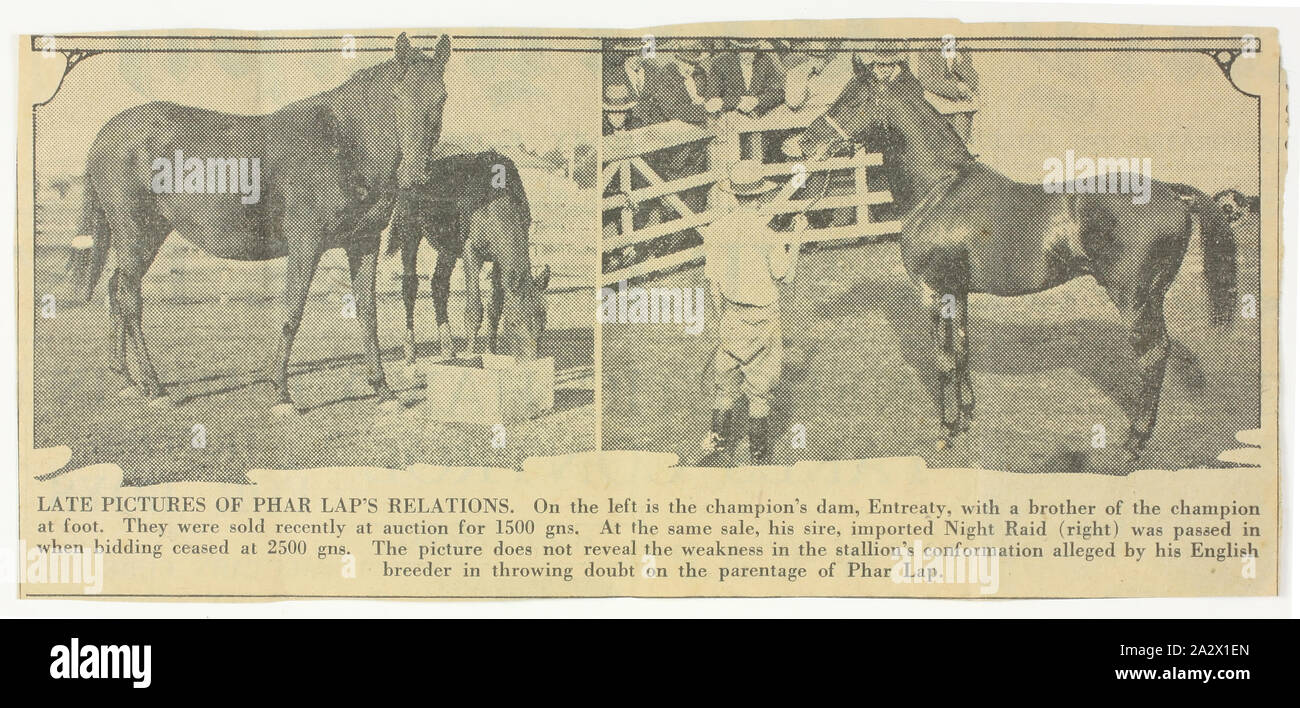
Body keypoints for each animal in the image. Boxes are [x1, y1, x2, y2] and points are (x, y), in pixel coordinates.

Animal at [65, 35, 452, 413]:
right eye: (398, 97)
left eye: (442, 98)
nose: (416, 175)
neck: (342, 143)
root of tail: (105, 135)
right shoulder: (306, 243)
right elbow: (292, 311)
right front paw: (281, 393)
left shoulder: (364, 242)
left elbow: (368, 314)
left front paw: (383, 391)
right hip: (135, 232)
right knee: (129, 298)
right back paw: (156, 388)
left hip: (149, 233)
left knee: (116, 288)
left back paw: (128, 380)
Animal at [384, 152, 548, 366]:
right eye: (513, 323)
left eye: (543, 323)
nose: (530, 360)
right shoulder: (470, 249)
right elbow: (474, 309)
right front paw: (471, 355)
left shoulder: (499, 259)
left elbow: (495, 307)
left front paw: (490, 352)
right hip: (409, 230)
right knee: (410, 285)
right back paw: (410, 352)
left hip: (448, 247)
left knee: (439, 284)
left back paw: (448, 349)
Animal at [780, 53, 1237, 457]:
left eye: (852, 100)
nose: (800, 143)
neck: (940, 191)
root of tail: (1172, 193)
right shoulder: (958, 293)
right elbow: (962, 350)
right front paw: (966, 417)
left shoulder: (935, 291)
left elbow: (943, 360)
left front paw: (946, 431)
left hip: (1135, 298)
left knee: (1153, 354)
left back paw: (1136, 441)